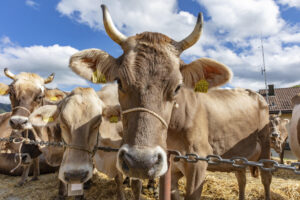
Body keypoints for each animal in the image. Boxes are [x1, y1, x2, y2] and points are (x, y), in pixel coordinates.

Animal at [69, 5, 274, 200]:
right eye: (119, 81)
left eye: (178, 87)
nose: (140, 162)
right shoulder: (171, 169)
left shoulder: (198, 160)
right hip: (240, 157)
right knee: (241, 177)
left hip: (265, 149)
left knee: (266, 179)